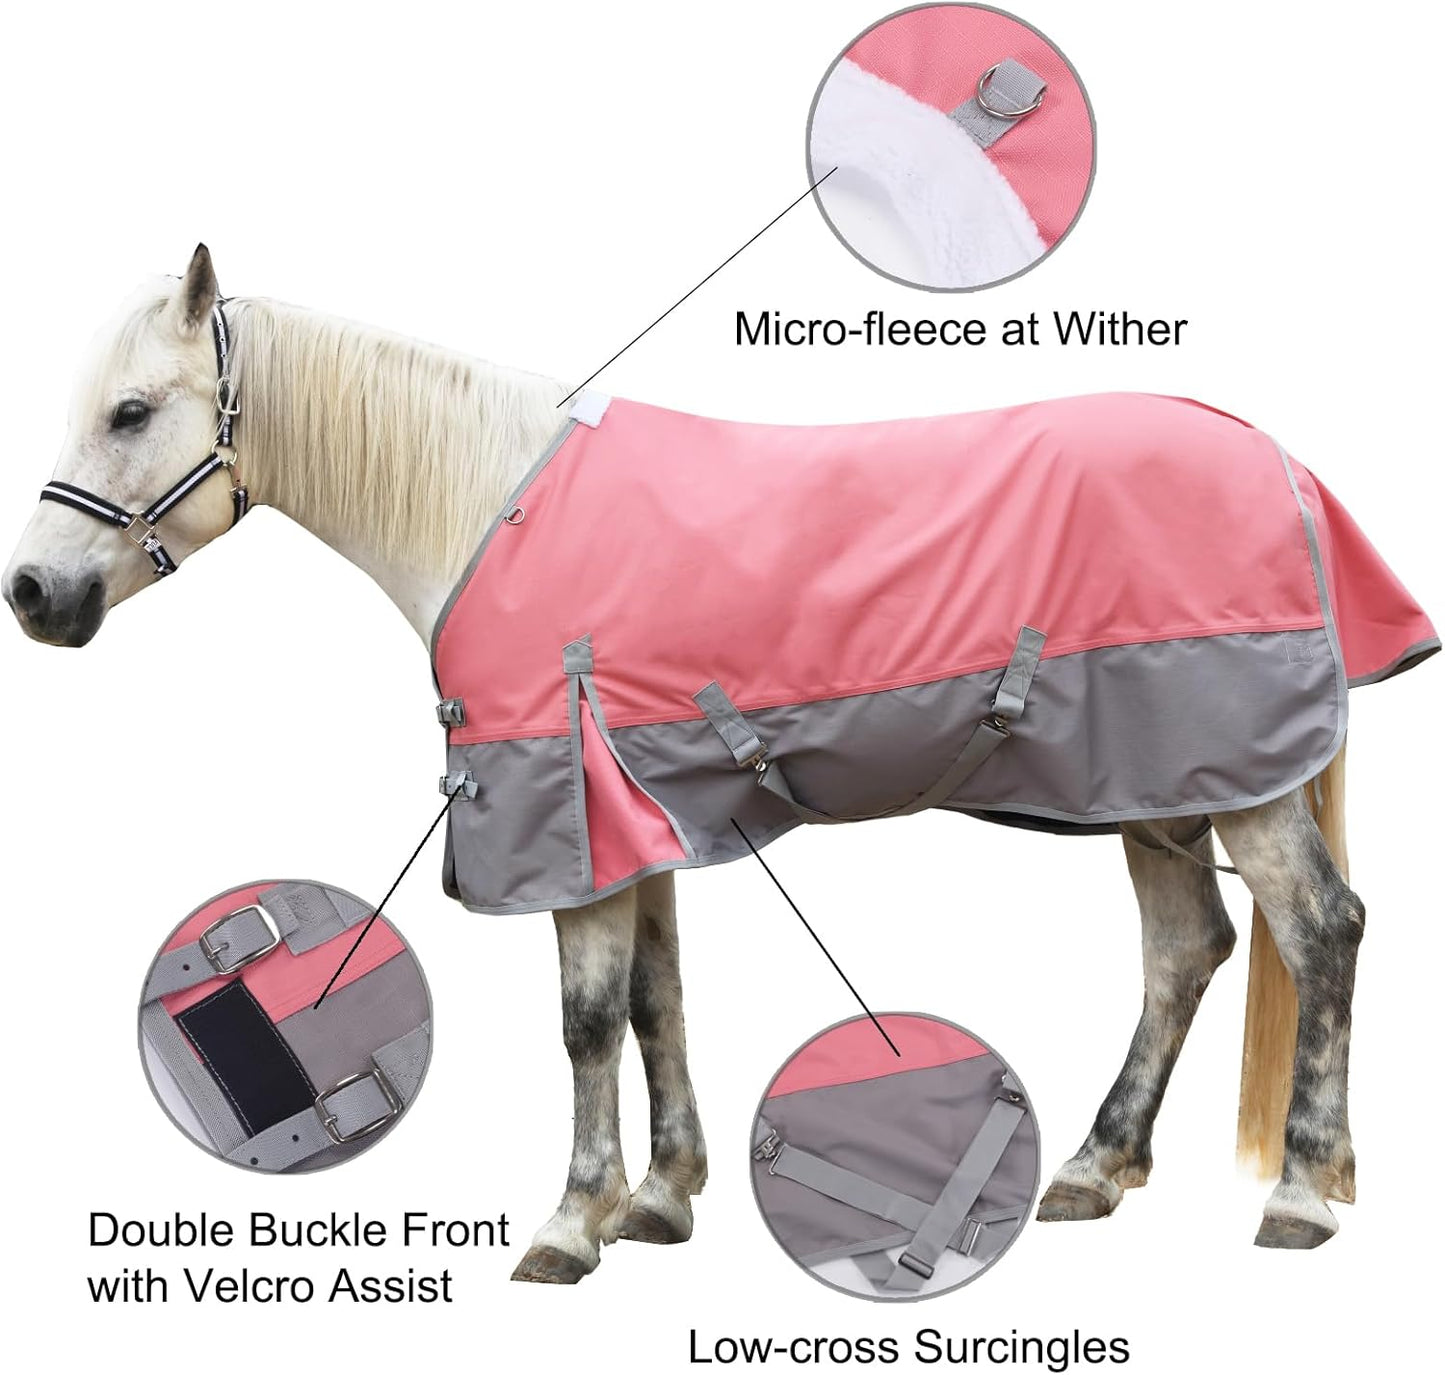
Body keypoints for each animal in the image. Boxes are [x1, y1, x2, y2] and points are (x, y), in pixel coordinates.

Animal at [5, 247, 1433, 1281]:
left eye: (130, 411)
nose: (34, 596)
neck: (485, 508)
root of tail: (1276, 463)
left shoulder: (565, 821)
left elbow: (584, 1021)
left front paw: (569, 1223)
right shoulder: (633, 823)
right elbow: (655, 1001)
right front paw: (662, 1196)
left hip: (1237, 781)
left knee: (1321, 932)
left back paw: (1300, 1194)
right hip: (1160, 789)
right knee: (1186, 948)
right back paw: (1091, 1167)